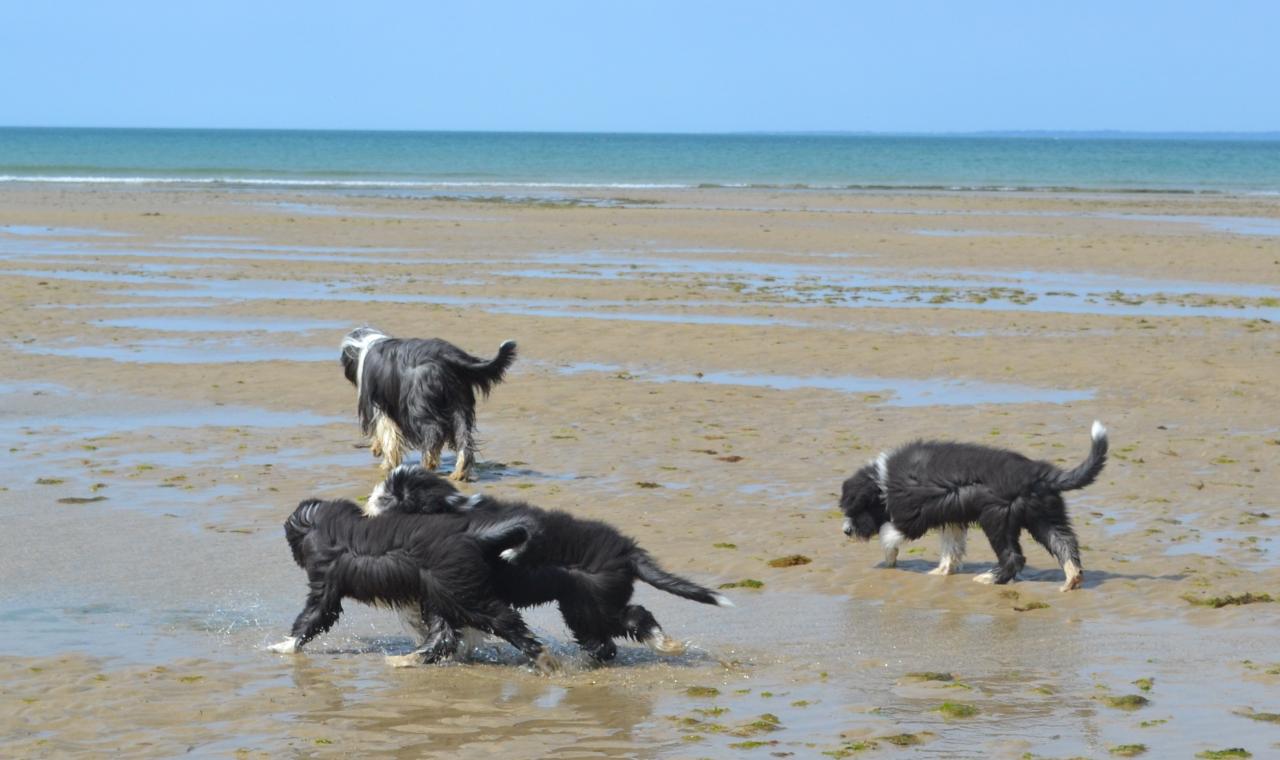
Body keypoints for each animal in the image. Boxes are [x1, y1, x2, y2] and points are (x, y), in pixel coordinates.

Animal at [264, 496, 555, 670]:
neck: (320, 521)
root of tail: (472, 536)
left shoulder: (325, 579)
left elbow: (314, 615)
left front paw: (283, 646)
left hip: (460, 593)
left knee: (505, 621)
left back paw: (543, 658)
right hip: (438, 595)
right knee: (444, 636)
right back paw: (406, 659)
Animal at [345, 324, 519, 478]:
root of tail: (446, 355)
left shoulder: (377, 404)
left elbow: (387, 433)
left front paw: (385, 460)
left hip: (419, 405)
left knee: (433, 433)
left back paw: (427, 464)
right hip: (460, 403)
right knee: (464, 438)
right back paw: (459, 472)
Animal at [366, 460, 737, 655]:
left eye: (391, 499)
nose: (369, 509)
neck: (447, 511)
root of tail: (625, 549)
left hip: (591, 602)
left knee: (632, 619)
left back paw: (661, 643)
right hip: (585, 605)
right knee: (612, 632)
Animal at [839, 419, 1111, 591]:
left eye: (855, 509)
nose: (846, 531)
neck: (881, 482)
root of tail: (1036, 474)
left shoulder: (913, 515)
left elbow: (889, 533)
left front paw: (889, 554)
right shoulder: (951, 517)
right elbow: (951, 547)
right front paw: (942, 571)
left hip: (997, 519)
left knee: (1013, 557)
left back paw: (989, 579)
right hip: (1044, 516)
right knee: (1064, 543)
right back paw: (1071, 580)